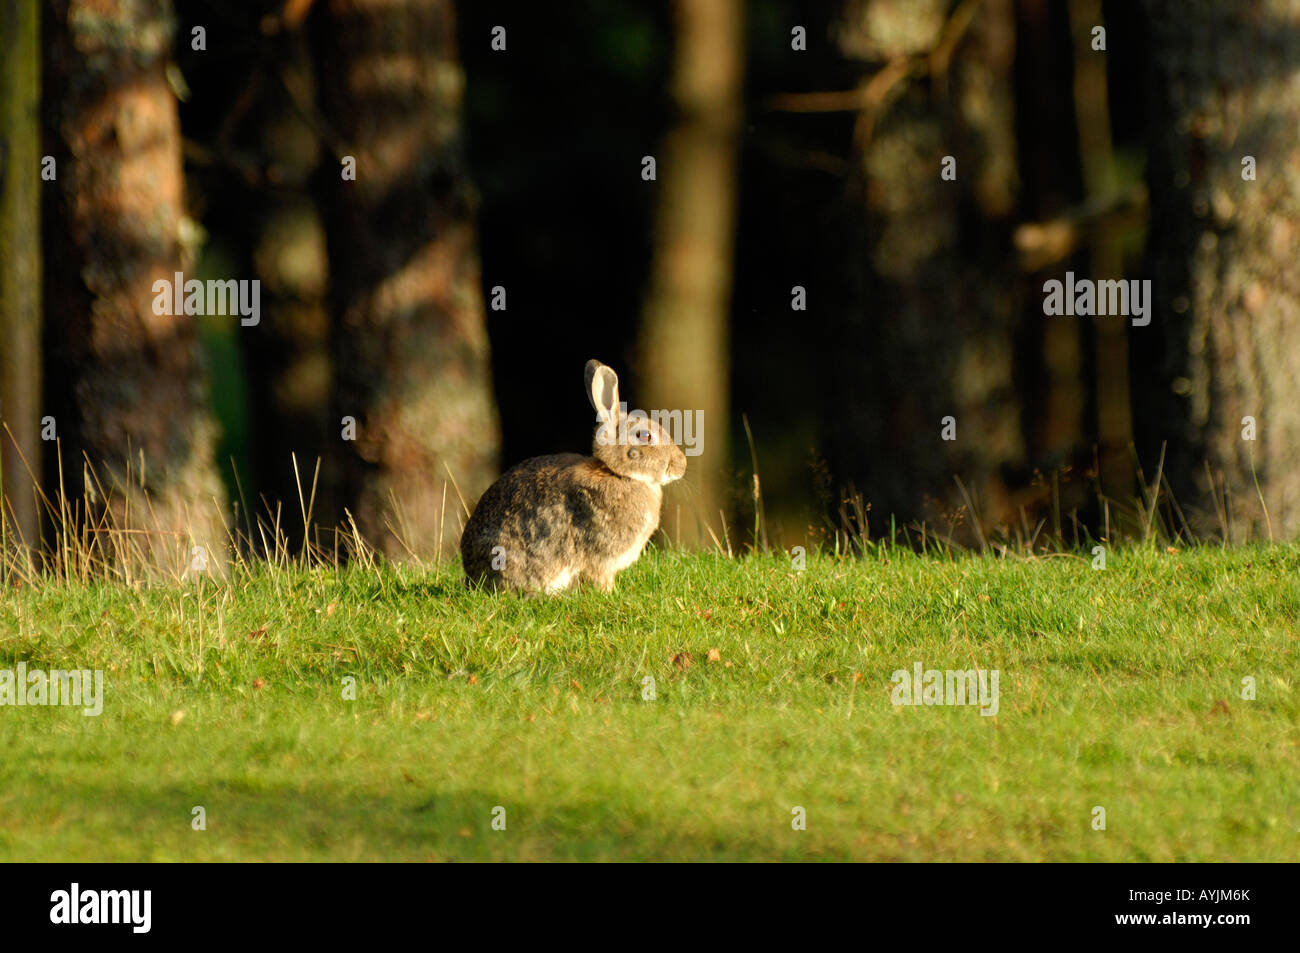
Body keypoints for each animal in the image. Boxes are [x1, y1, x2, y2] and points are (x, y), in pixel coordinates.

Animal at [460, 358, 691, 590]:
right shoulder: (600, 556)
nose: (681, 465)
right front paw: (609, 593)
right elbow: (600, 576)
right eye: (644, 435)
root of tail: (472, 573)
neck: (615, 473)